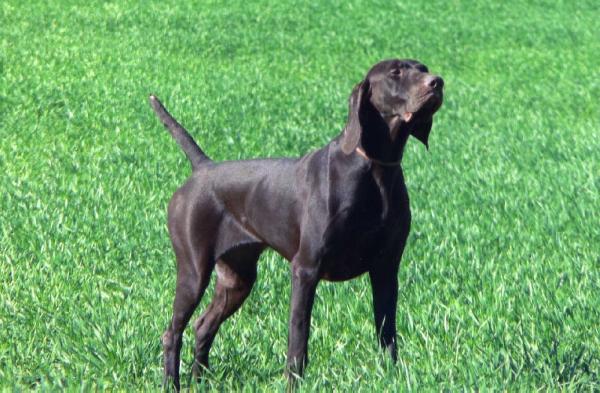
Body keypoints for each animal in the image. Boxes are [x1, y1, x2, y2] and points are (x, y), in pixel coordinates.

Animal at [149, 59, 442, 388]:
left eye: (423, 68)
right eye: (395, 73)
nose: (437, 82)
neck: (376, 170)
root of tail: (202, 167)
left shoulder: (386, 269)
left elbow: (387, 333)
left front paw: (391, 377)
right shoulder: (305, 270)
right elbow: (298, 339)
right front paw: (294, 383)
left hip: (236, 280)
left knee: (203, 326)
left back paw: (200, 380)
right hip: (193, 272)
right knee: (172, 333)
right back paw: (171, 384)